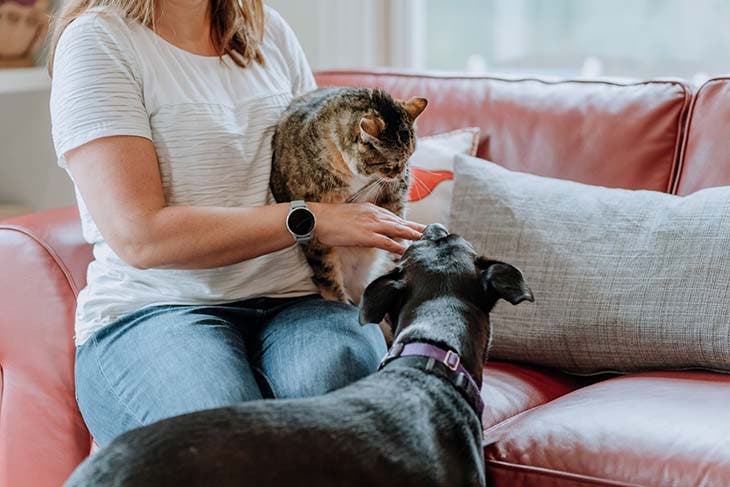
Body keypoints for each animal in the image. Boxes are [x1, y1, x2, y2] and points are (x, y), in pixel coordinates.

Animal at [270, 86, 424, 304]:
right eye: (389, 164)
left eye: (410, 155)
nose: (402, 173)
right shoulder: (317, 242)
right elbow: (328, 277)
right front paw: (339, 300)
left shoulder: (393, 195)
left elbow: (396, 220)